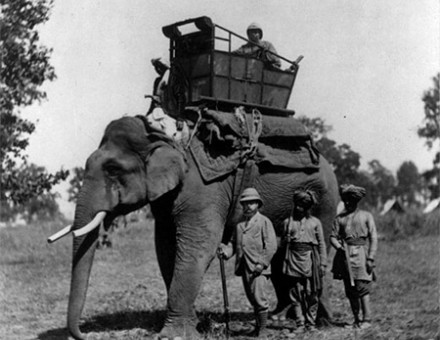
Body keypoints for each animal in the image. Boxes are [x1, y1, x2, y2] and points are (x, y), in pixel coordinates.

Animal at [56, 114, 338, 340]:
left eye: (113, 169)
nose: (83, 334)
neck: (164, 136)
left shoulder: (203, 189)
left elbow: (198, 245)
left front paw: (173, 334)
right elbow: (165, 247)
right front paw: (195, 324)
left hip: (325, 201)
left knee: (316, 250)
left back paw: (320, 321)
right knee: (280, 252)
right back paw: (283, 316)